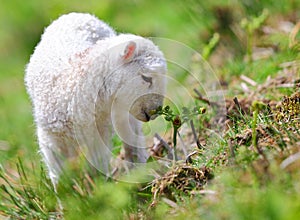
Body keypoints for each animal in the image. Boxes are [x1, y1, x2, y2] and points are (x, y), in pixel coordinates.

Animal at [25, 12, 166, 186]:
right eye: (146, 78)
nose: (156, 111)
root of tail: (76, 14)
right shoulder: (50, 137)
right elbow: (59, 174)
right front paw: (66, 192)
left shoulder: (98, 134)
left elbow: (98, 164)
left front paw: (100, 187)